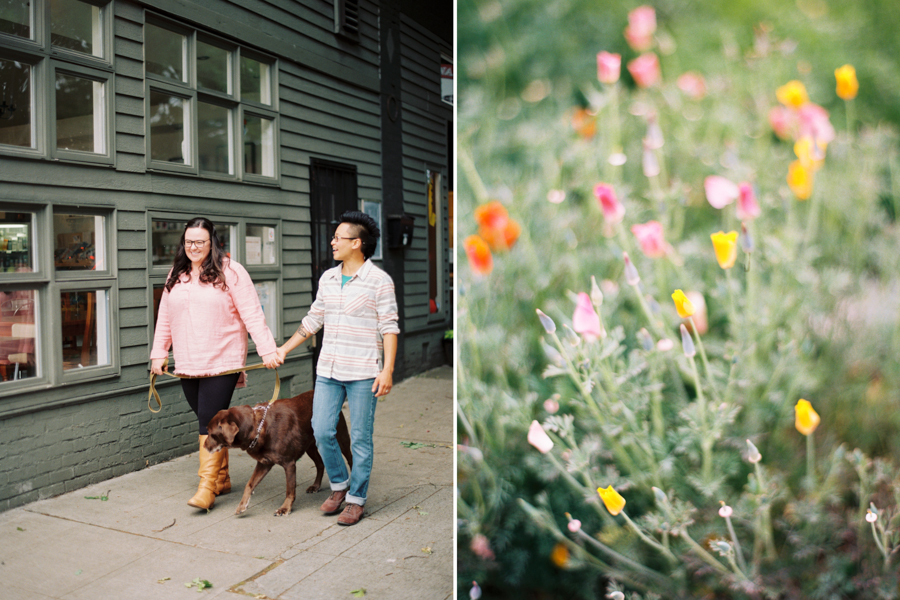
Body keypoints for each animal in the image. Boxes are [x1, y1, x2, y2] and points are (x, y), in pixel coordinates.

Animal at [206, 392, 354, 516]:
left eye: (212, 434)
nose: (204, 446)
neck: (258, 427)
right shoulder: (264, 463)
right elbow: (249, 484)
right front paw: (242, 505)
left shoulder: (289, 464)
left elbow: (290, 489)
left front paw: (285, 508)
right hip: (310, 446)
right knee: (320, 464)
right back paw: (316, 486)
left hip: (341, 438)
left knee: (351, 458)